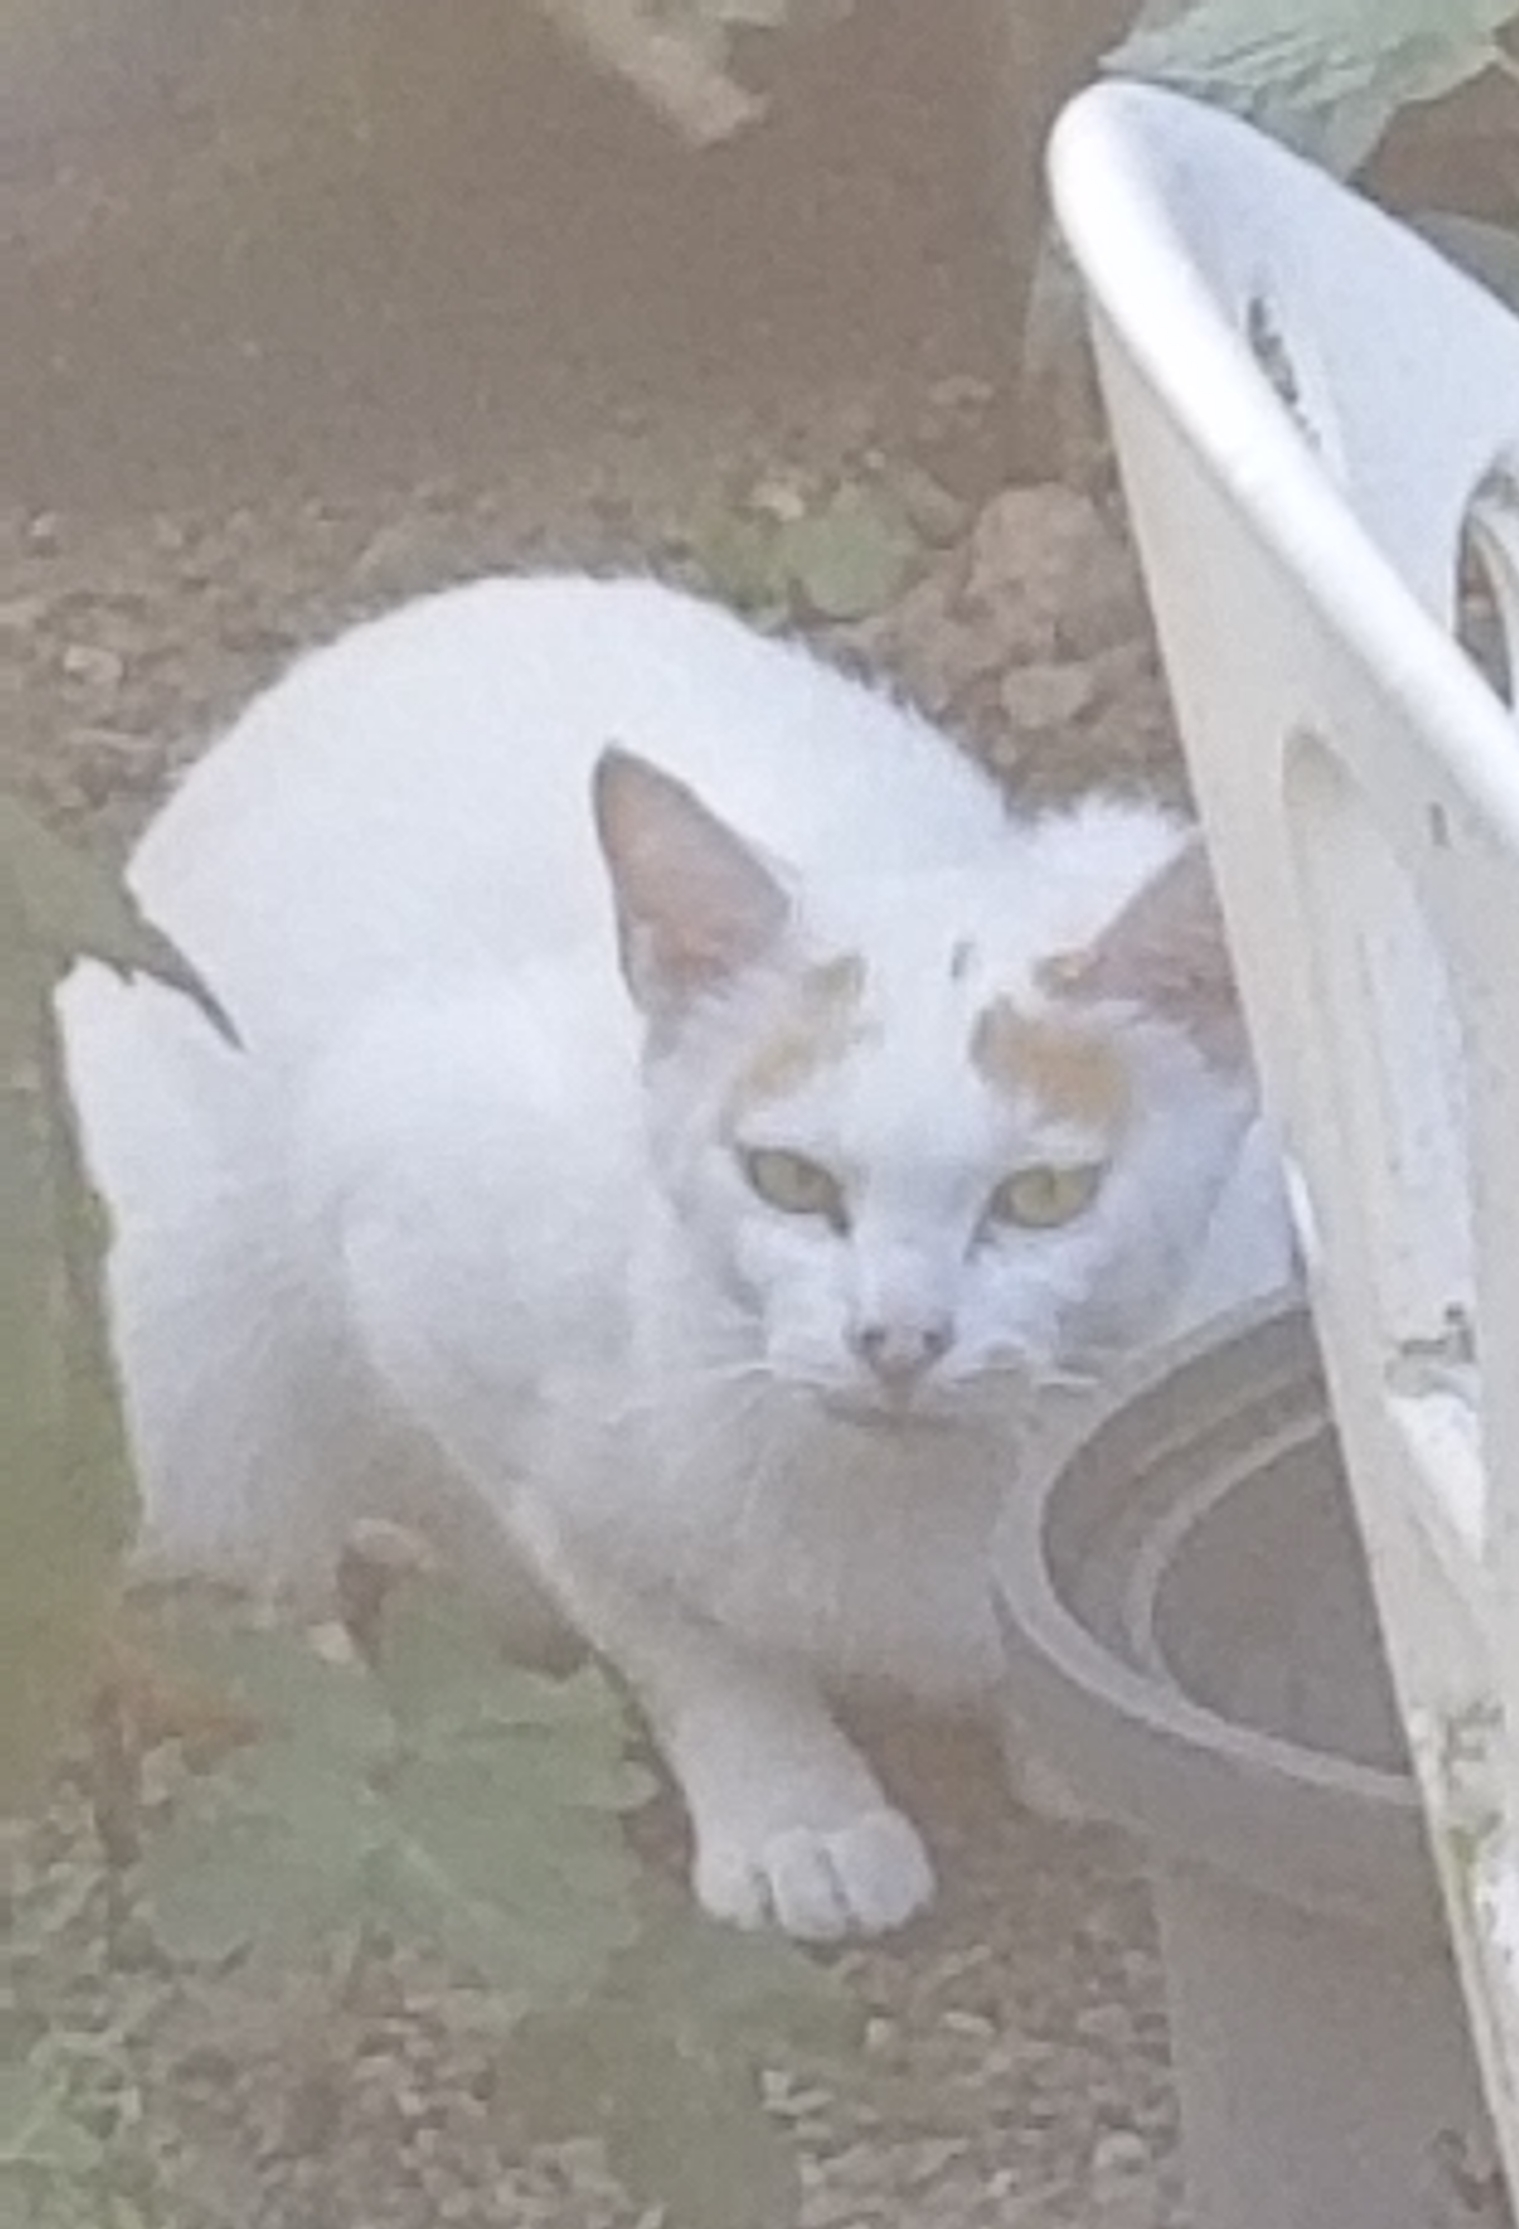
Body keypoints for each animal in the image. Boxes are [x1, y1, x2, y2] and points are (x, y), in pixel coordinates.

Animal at [58, 573, 1299, 1940]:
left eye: (1043, 1198)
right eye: (790, 1181)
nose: (898, 1340)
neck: (912, 1500)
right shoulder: (429, 1274)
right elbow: (670, 1627)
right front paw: (794, 1811)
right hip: (177, 1342)